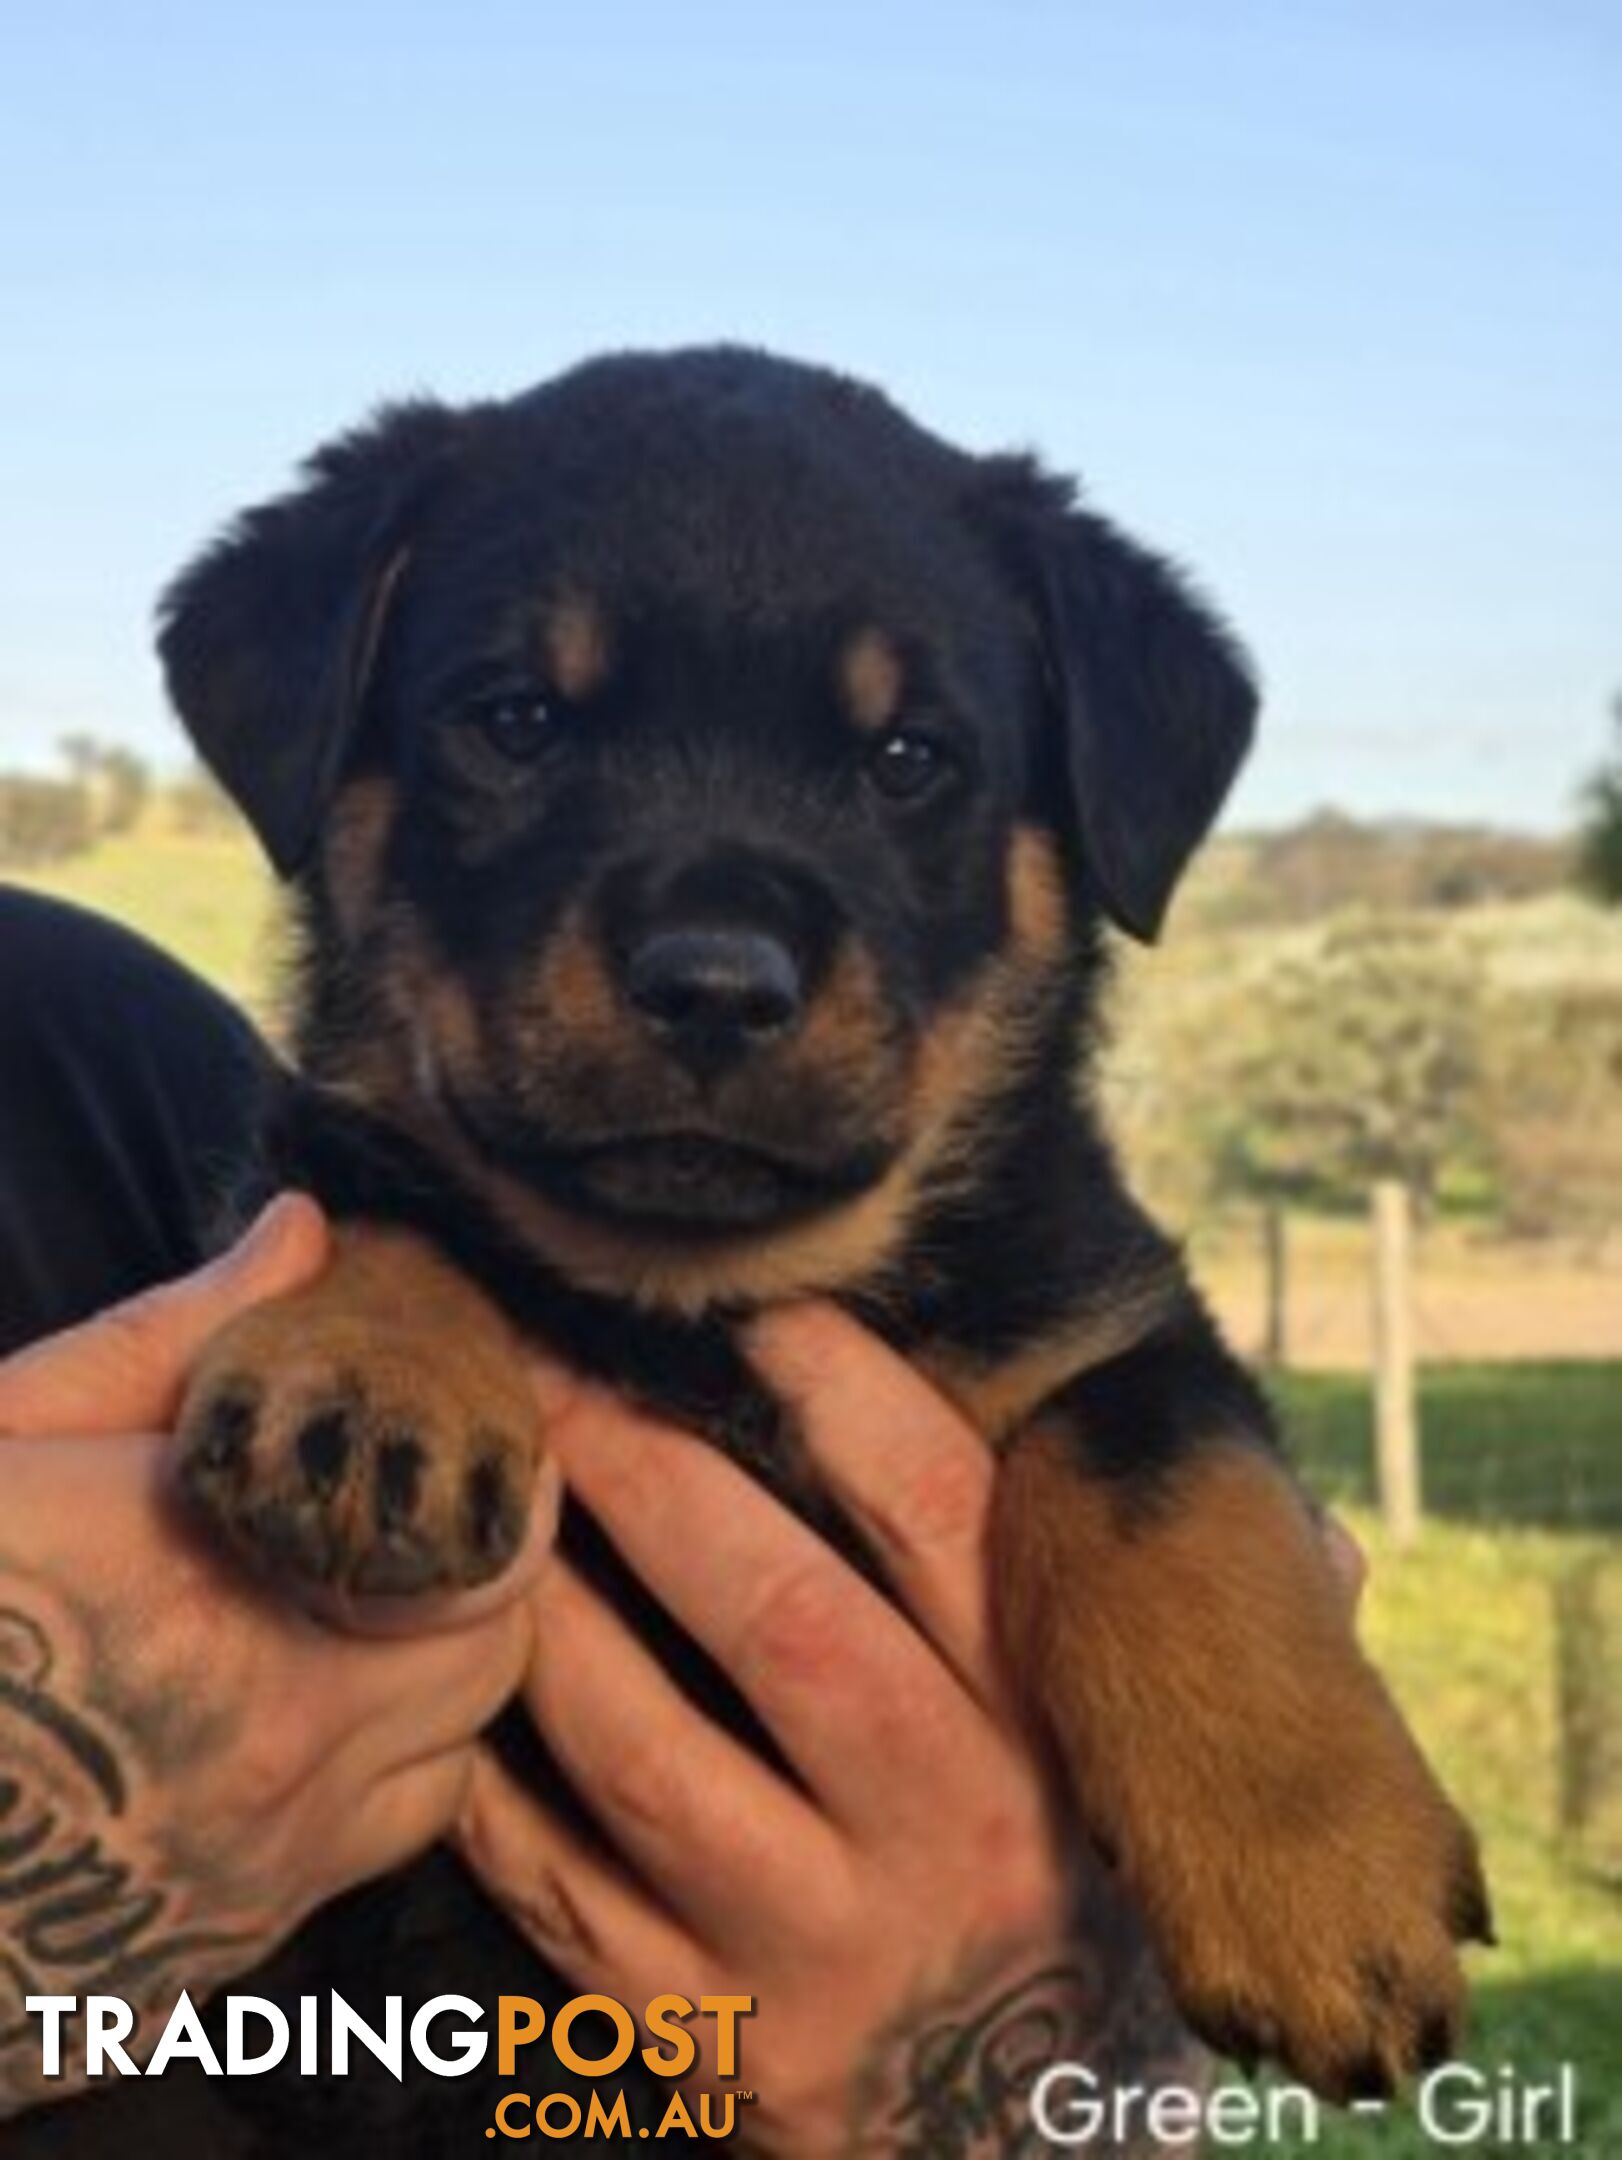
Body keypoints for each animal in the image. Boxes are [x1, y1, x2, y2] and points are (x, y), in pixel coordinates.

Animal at [158, 345, 1494, 2099]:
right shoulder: (333, 1154)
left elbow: (1168, 1484)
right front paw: (371, 1386)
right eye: (516, 722)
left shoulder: (1111, 1306)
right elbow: (384, 1194)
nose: (717, 984)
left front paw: (1316, 1880)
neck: (704, 1303)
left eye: (907, 757)